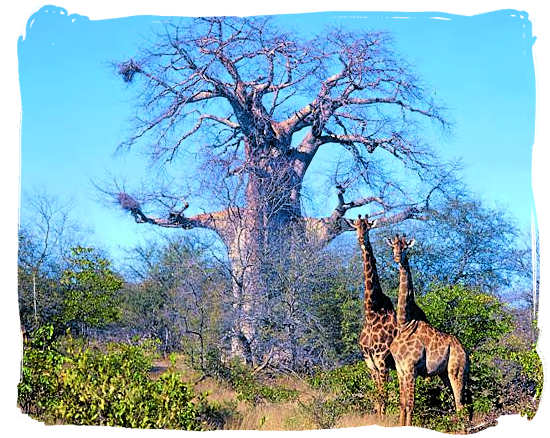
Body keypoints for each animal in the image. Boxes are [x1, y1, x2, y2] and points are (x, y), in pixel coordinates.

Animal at [388, 234, 470, 426]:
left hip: (456, 370)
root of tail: (466, 352)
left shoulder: (411, 369)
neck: (404, 323)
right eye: (393, 246)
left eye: (405, 248)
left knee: (460, 406)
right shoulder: (400, 370)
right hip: (445, 374)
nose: (397, 257)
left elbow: (410, 405)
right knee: (461, 405)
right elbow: (402, 404)